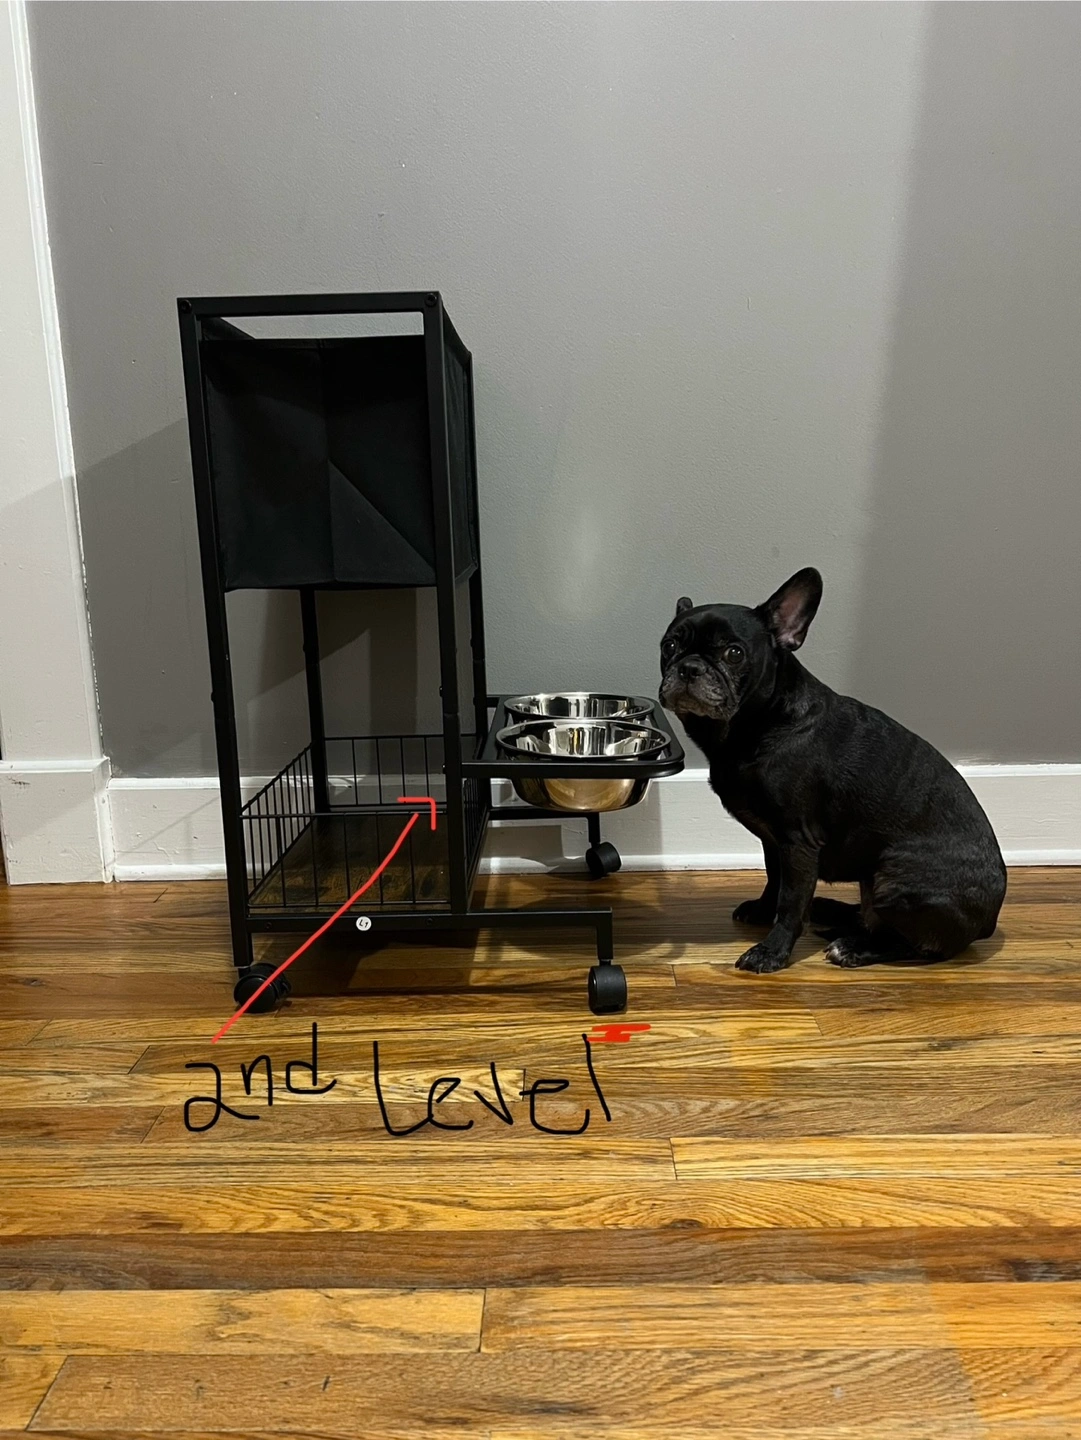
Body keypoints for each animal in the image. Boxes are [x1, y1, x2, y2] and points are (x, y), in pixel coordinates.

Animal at [659, 567, 1006, 972]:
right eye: (669, 646)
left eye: (734, 653)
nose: (689, 666)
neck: (758, 722)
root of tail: (988, 922)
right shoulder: (773, 841)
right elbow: (774, 881)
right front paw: (762, 910)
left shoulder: (797, 842)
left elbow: (791, 903)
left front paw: (772, 951)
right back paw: (833, 912)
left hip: (891, 878)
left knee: (913, 944)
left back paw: (853, 947)